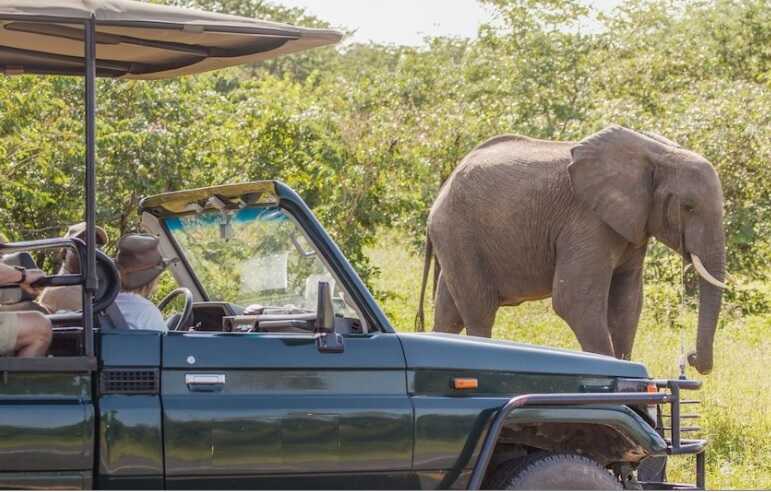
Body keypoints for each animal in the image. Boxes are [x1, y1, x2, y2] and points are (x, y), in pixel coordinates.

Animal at [416, 125, 724, 374]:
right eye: (689, 207)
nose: (691, 357)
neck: (657, 153)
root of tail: (443, 189)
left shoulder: (634, 225)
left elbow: (628, 304)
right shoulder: (588, 221)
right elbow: (575, 301)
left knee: (449, 314)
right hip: (458, 232)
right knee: (479, 311)